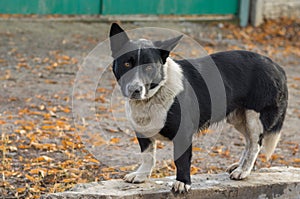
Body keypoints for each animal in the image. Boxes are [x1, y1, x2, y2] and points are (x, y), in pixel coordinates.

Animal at [108, 22, 288, 193]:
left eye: (149, 67)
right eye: (127, 63)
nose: (135, 90)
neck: (156, 92)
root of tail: (275, 65)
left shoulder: (183, 134)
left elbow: (181, 161)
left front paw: (182, 183)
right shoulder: (142, 132)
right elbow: (147, 156)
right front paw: (141, 176)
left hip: (254, 118)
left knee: (256, 144)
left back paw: (243, 171)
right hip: (239, 119)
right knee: (249, 142)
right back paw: (240, 166)